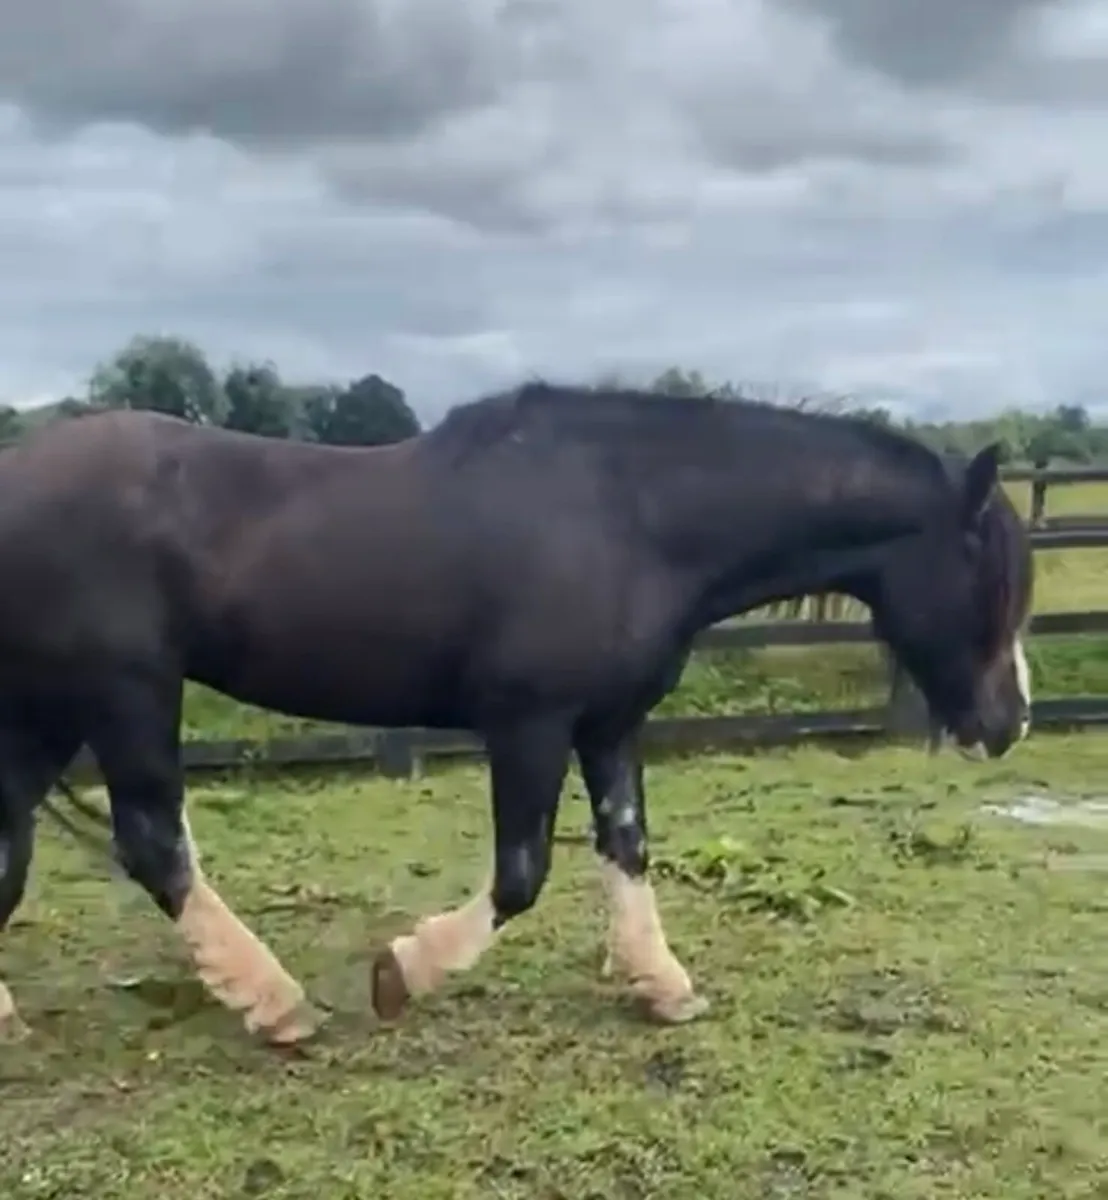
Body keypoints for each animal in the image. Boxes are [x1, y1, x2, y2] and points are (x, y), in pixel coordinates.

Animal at [0, 381, 1032, 1045]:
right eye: (990, 575)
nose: (1009, 721)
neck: (633, 516)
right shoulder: (530, 723)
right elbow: (521, 875)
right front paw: (402, 971)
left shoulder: (609, 724)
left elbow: (627, 847)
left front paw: (662, 986)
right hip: (125, 691)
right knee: (152, 843)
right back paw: (274, 1001)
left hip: (53, 705)